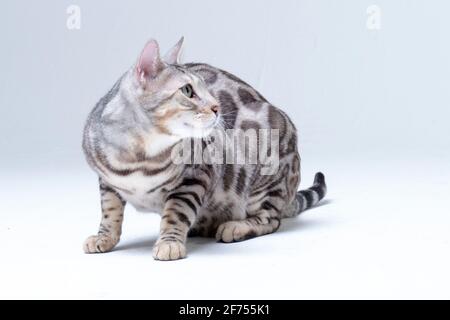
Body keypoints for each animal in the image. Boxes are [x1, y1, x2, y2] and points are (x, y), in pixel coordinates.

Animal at [81, 37, 326, 260]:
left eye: (206, 89)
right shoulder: (107, 182)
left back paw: (236, 226)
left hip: (268, 175)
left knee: (271, 219)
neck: (140, 155)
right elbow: (110, 212)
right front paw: (104, 237)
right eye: (187, 90)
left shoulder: (195, 176)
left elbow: (176, 213)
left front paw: (169, 242)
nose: (217, 107)